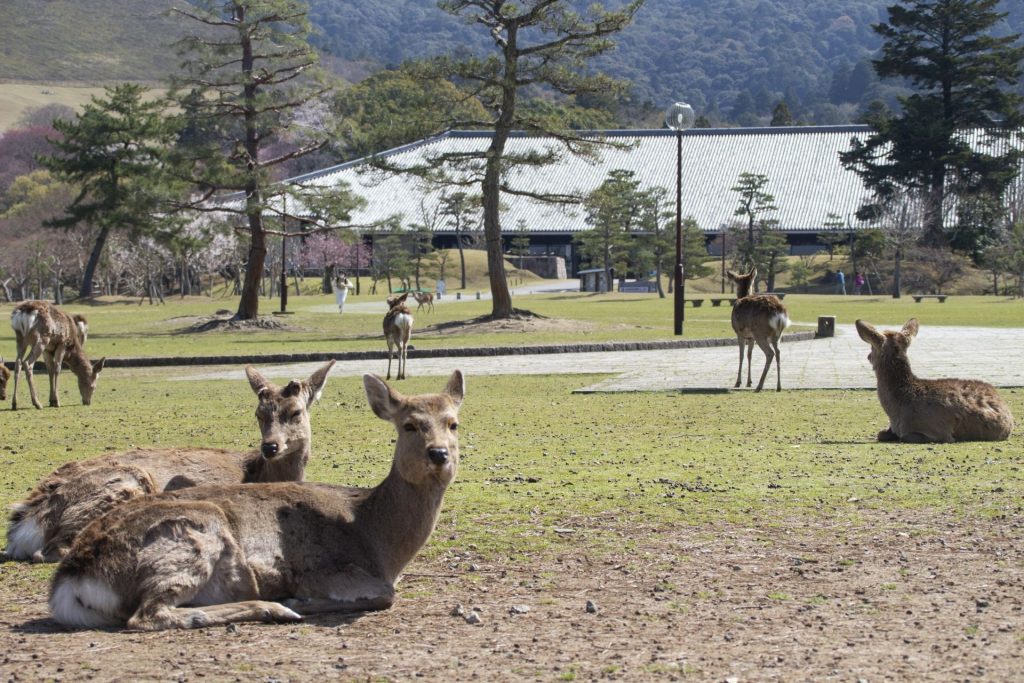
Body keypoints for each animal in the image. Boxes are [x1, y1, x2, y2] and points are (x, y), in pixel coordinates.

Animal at [4, 360, 331, 565]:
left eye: (295, 412)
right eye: (259, 414)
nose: (270, 446)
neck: (260, 473)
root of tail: (25, 520)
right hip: (125, 481)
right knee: (53, 550)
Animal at [48, 370, 464, 634]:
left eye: (453, 422)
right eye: (409, 424)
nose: (439, 454)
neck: (377, 538)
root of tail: (68, 581)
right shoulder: (324, 568)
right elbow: (385, 595)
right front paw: (302, 601)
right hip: (194, 535)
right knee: (148, 615)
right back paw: (275, 607)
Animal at [851, 321, 1011, 444]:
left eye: (872, 346)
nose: (868, 356)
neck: (897, 412)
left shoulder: (940, 432)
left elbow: (906, 437)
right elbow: (881, 434)